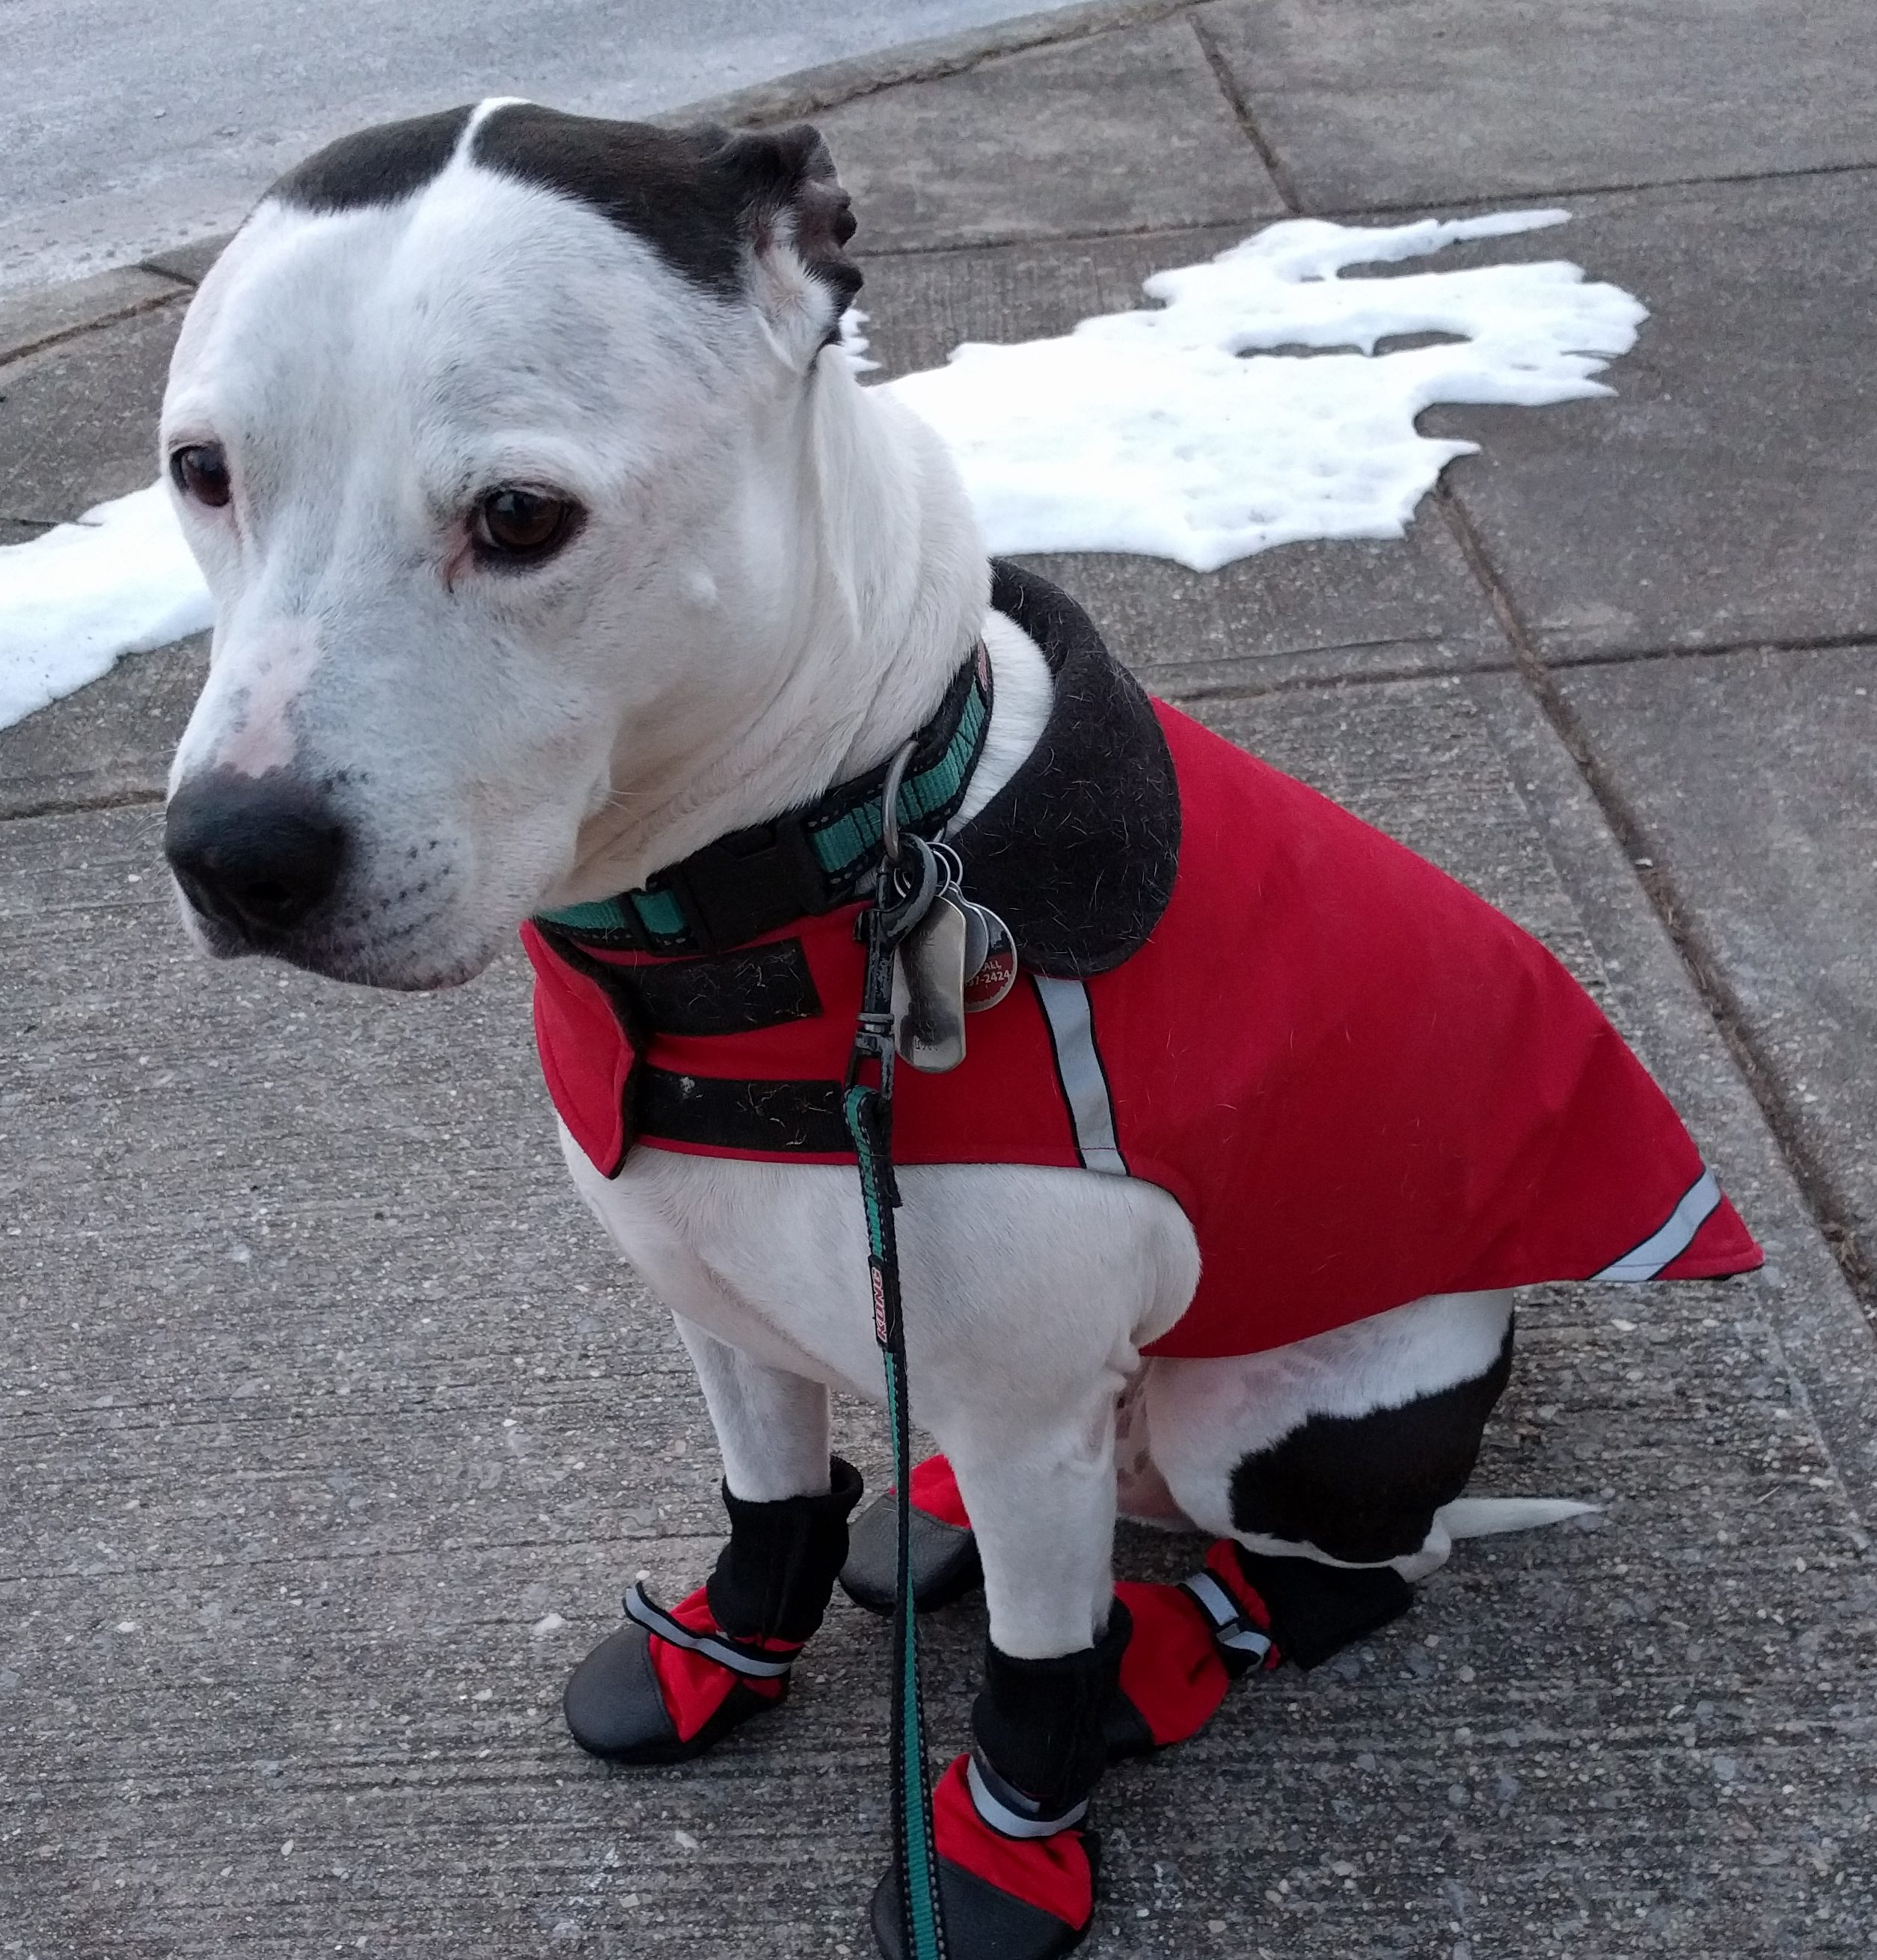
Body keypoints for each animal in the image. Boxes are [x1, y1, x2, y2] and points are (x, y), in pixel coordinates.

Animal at [157, 107, 1763, 1960]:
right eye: (200, 472)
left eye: (518, 515)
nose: (232, 852)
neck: (809, 879)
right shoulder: (719, 1313)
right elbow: (772, 1497)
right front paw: (727, 1648)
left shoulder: (1023, 1415)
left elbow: (1030, 1670)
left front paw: (999, 1847)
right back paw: (925, 1528)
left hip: (1247, 1418)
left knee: (1351, 1570)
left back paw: (1174, 1645)